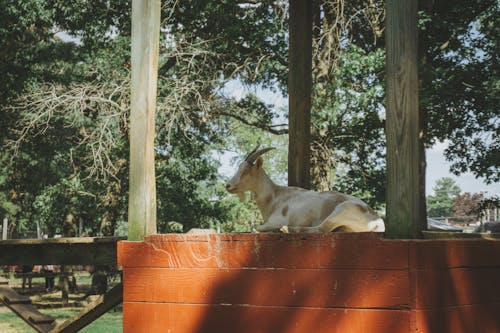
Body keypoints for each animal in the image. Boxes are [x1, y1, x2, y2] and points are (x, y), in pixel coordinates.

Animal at [225, 147, 384, 232]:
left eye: (246, 171)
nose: (228, 186)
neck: (275, 196)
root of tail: (377, 222)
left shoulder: (275, 220)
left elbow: (255, 228)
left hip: (341, 210)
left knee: (320, 229)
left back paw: (286, 229)